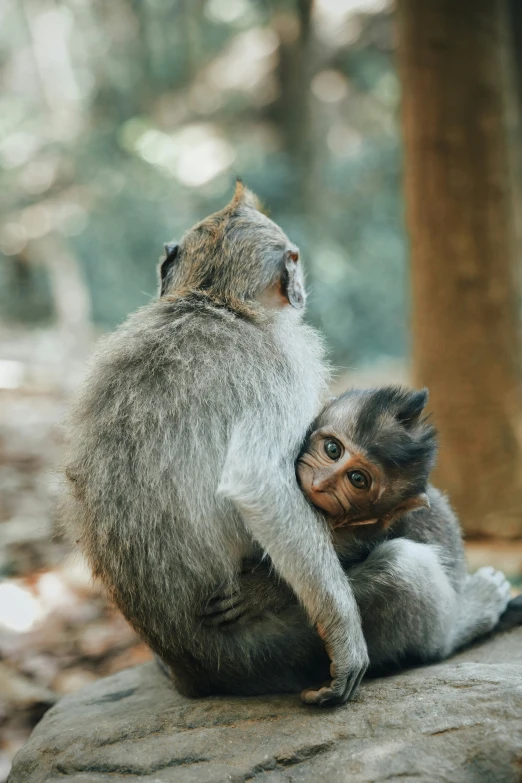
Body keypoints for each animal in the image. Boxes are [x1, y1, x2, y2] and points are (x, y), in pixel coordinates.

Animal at [63, 182, 366, 704]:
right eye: (293, 261)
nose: (301, 288)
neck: (215, 298)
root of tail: (193, 671)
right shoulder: (282, 364)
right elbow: (258, 485)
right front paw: (344, 636)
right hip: (267, 651)